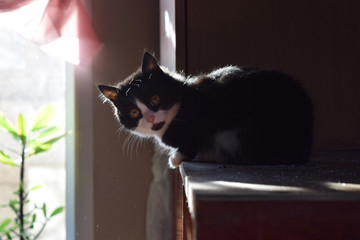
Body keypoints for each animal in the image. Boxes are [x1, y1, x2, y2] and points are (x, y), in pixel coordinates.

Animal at [97, 52, 312, 169]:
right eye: (134, 113)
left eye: (155, 99)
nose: (150, 118)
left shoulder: (208, 106)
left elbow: (197, 135)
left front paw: (177, 158)